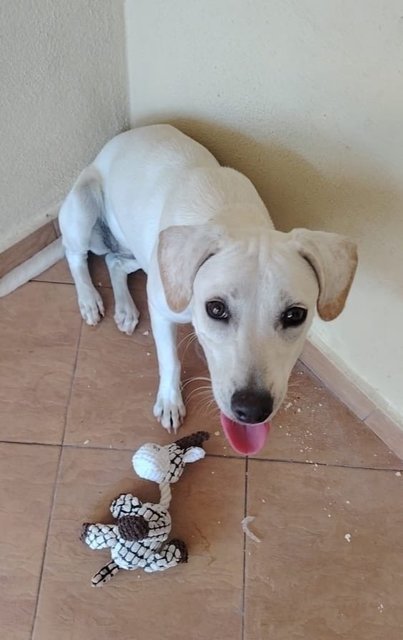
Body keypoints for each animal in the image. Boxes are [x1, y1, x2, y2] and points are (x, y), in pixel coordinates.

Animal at [1, 125, 358, 456]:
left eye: (295, 315)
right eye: (216, 308)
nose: (252, 410)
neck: (231, 217)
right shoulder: (161, 308)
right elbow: (169, 359)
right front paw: (170, 402)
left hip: (143, 252)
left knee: (115, 262)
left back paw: (125, 309)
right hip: (84, 207)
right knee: (75, 256)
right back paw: (89, 299)